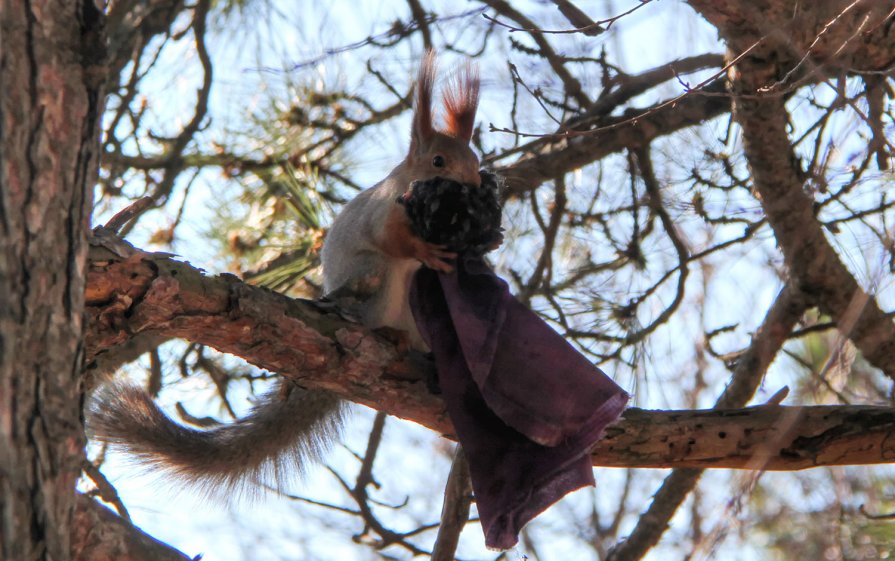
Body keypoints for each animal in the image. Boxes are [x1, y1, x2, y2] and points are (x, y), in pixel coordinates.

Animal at [87, 51, 484, 490]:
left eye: (477, 161)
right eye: (438, 161)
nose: (476, 187)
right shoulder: (384, 213)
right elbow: (393, 240)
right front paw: (427, 250)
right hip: (374, 284)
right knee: (373, 296)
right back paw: (388, 334)